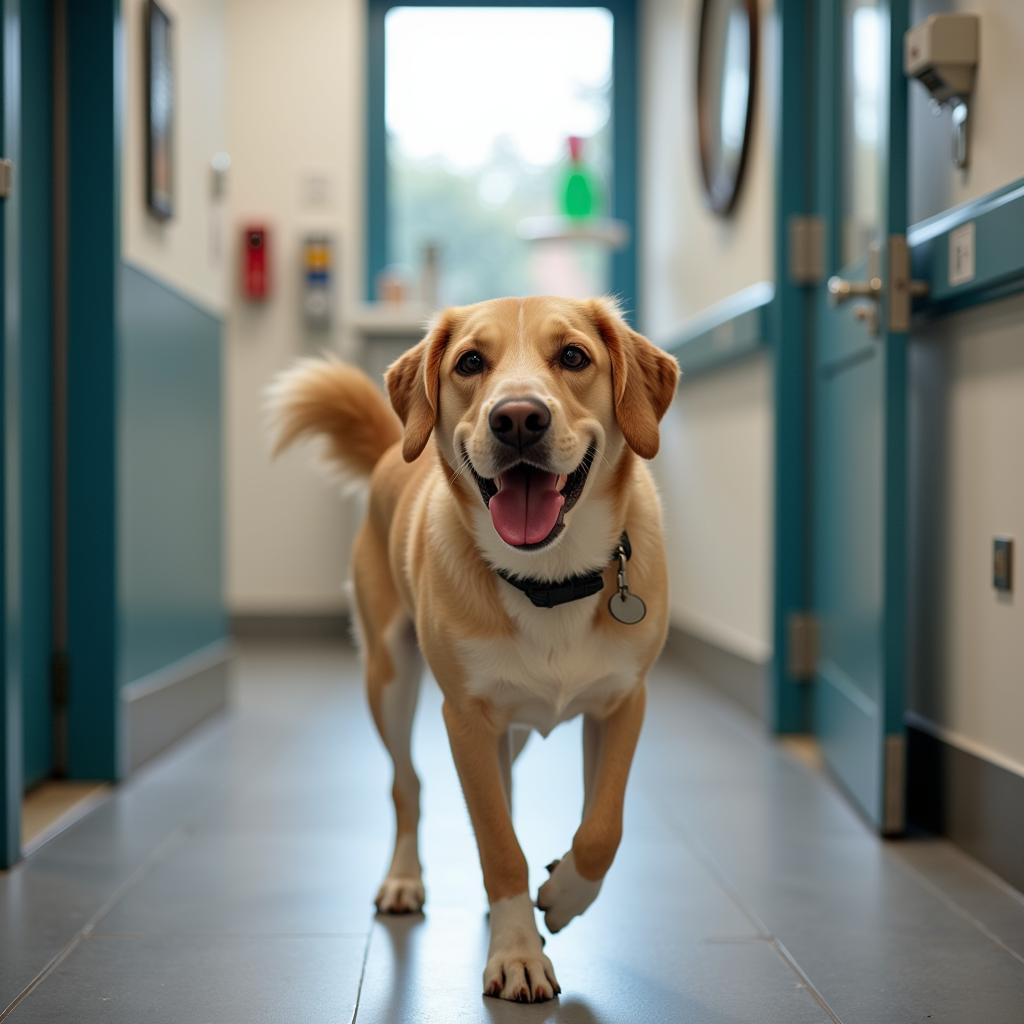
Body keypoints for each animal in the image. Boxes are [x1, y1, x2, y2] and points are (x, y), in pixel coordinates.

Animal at [270, 294, 679, 999]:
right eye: (469, 363)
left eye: (574, 356)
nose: (517, 418)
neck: (550, 580)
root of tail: (392, 448)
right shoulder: (464, 718)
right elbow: (495, 839)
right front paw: (517, 952)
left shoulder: (624, 704)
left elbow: (603, 827)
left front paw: (565, 896)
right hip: (389, 681)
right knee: (407, 786)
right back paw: (405, 878)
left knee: (504, 787)